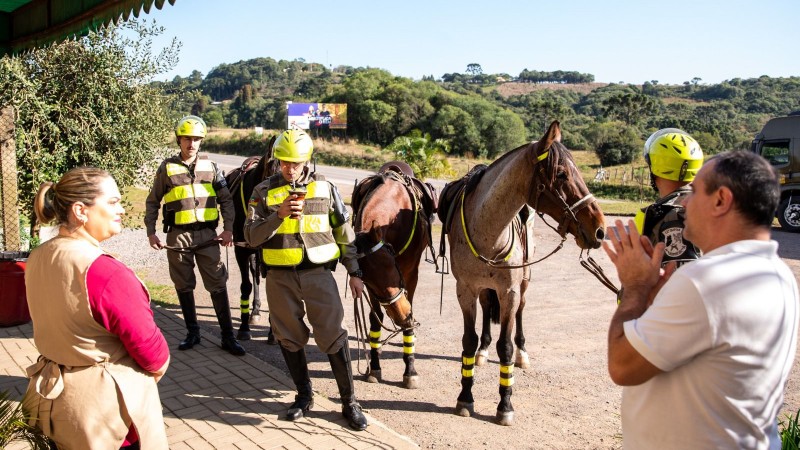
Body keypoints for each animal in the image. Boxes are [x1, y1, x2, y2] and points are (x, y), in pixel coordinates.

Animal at [352, 162, 438, 390]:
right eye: (368, 281)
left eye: (391, 266)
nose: (399, 314)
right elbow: (375, 320)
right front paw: (374, 367)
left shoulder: (410, 273)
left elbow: (410, 316)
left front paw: (410, 370)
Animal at [438, 122, 608, 426]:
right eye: (561, 174)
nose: (600, 229)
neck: (488, 229)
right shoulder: (465, 290)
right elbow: (468, 341)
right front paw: (465, 397)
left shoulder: (510, 292)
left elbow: (505, 346)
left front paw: (505, 405)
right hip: (486, 289)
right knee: (486, 309)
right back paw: (483, 351)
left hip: (524, 283)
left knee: (520, 313)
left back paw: (522, 354)